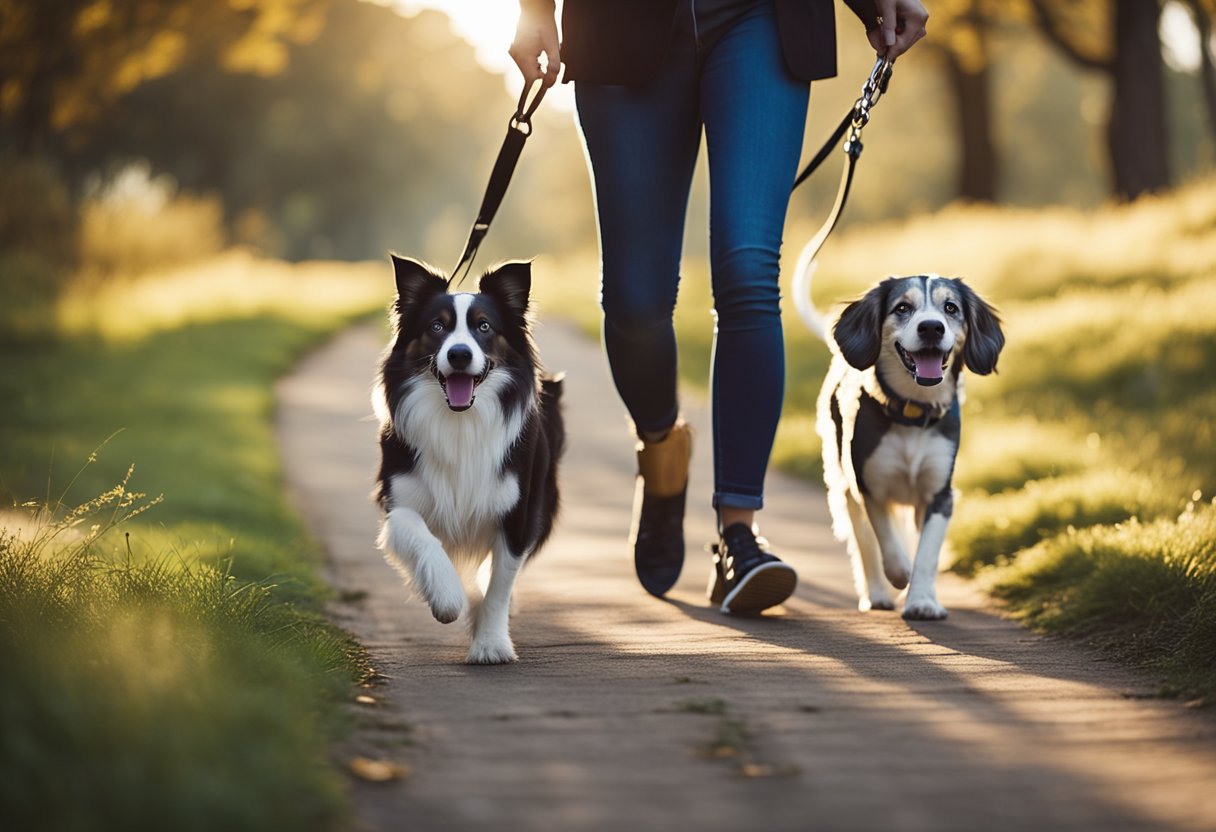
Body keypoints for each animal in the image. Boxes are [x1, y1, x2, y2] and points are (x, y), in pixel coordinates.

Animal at [369, 256, 564, 666]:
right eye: (437, 326)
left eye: (484, 326)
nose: (459, 354)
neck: (460, 420)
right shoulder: (398, 501)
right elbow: (420, 535)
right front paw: (447, 597)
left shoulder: (518, 513)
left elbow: (498, 587)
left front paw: (490, 643)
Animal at [792, 262, 1001, 620]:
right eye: (902, 308)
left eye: (950, 308)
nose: (931, 327)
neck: (913, 413)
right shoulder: (869, 487)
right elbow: (887, 542)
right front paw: (901, 573)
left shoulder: (939, 495)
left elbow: (927, 554)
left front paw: (921, 601)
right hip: (844, 490)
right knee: (866, 549)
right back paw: (877, 593)